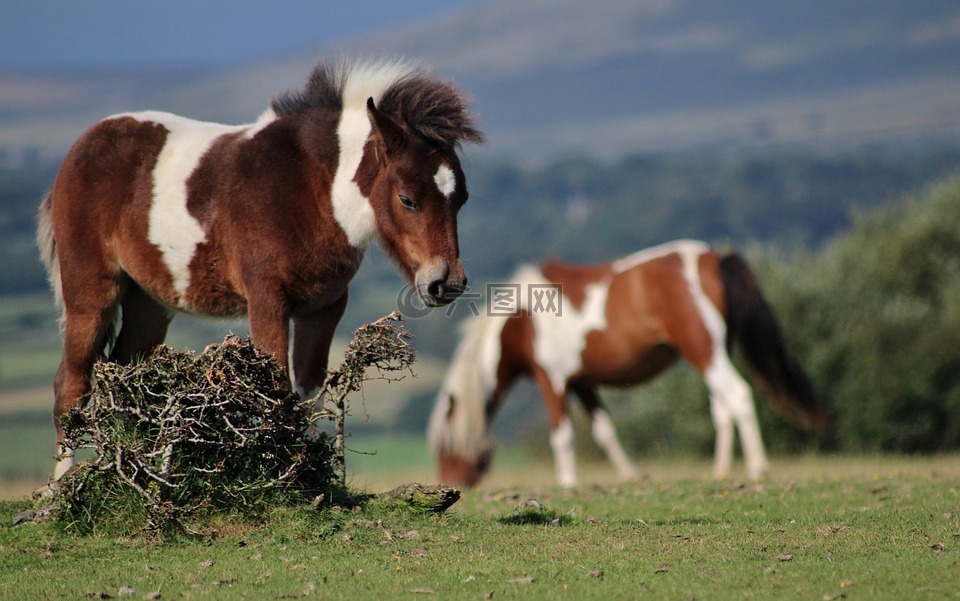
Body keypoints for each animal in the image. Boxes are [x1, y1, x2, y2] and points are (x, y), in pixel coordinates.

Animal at [37, 56, 488, 478]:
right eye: (407, 198)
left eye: (463, 198)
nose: (445, 283)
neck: (310, 189)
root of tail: (78, 149)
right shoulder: (267, 300)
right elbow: (275, 391)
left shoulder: (323, 307)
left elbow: (306, 394)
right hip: (92, 294)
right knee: (72, 386)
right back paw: (62, 487)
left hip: (150, 303)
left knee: (128, 379)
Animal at [430, 239, 824, 488]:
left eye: (443, 446)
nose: (450, 483)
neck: (522, 320)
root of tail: (713, 259)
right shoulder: (582, 382)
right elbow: (605, 431)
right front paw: (632, 476)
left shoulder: (551, 379)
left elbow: (562, 436)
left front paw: (567, 483)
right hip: (714, 351)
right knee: (722, 408)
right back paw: (720, 473)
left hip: (704, 350)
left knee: (739, 395)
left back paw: (758, 468)